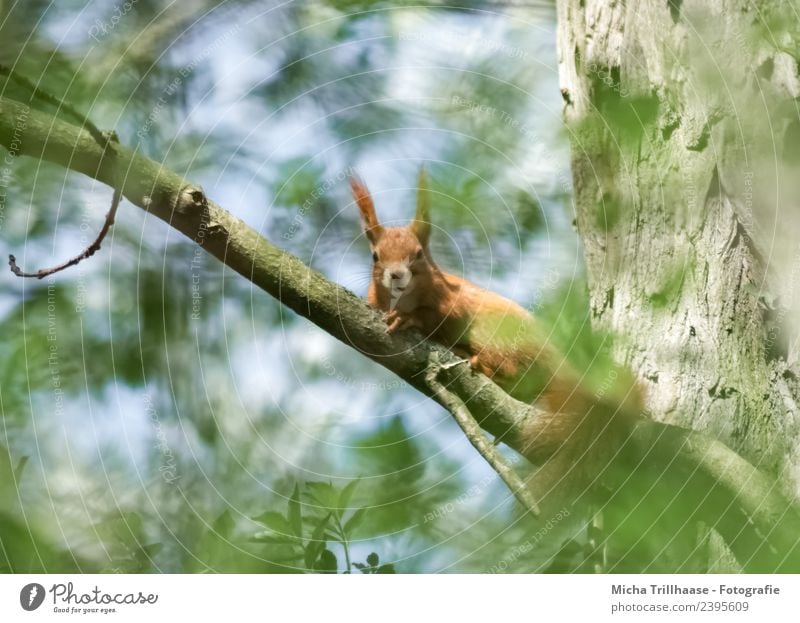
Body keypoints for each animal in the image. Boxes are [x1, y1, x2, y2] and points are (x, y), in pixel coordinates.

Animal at [348, 173, 636, 486]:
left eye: (418, 254)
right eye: (375, 256)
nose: (397, 275)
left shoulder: (451, 301)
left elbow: (433, 316)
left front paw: (408, 319)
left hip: (501, 337)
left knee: (510, 368)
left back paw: (481, 364)